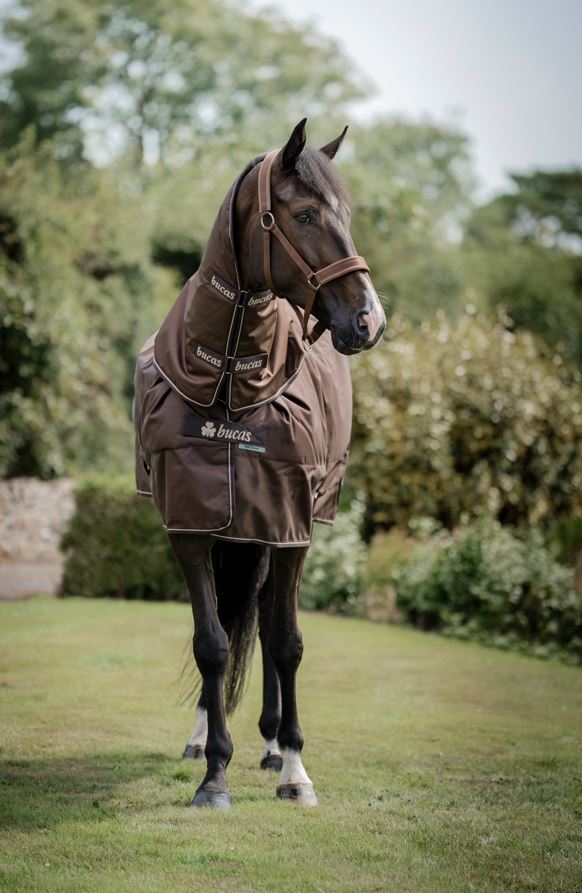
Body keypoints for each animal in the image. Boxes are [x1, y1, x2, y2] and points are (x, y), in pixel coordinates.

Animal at [133, 118, 386, 808]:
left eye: (345, 214)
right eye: (303, 214)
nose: (370, 319)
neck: (229, 387)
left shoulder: (290, 525)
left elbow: (286, 641)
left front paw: (296, 768)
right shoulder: (190, 525)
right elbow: (212, 642)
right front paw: (213, 773)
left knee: (270, 621)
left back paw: (274, 746)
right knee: (234, 615)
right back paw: (205, 739)